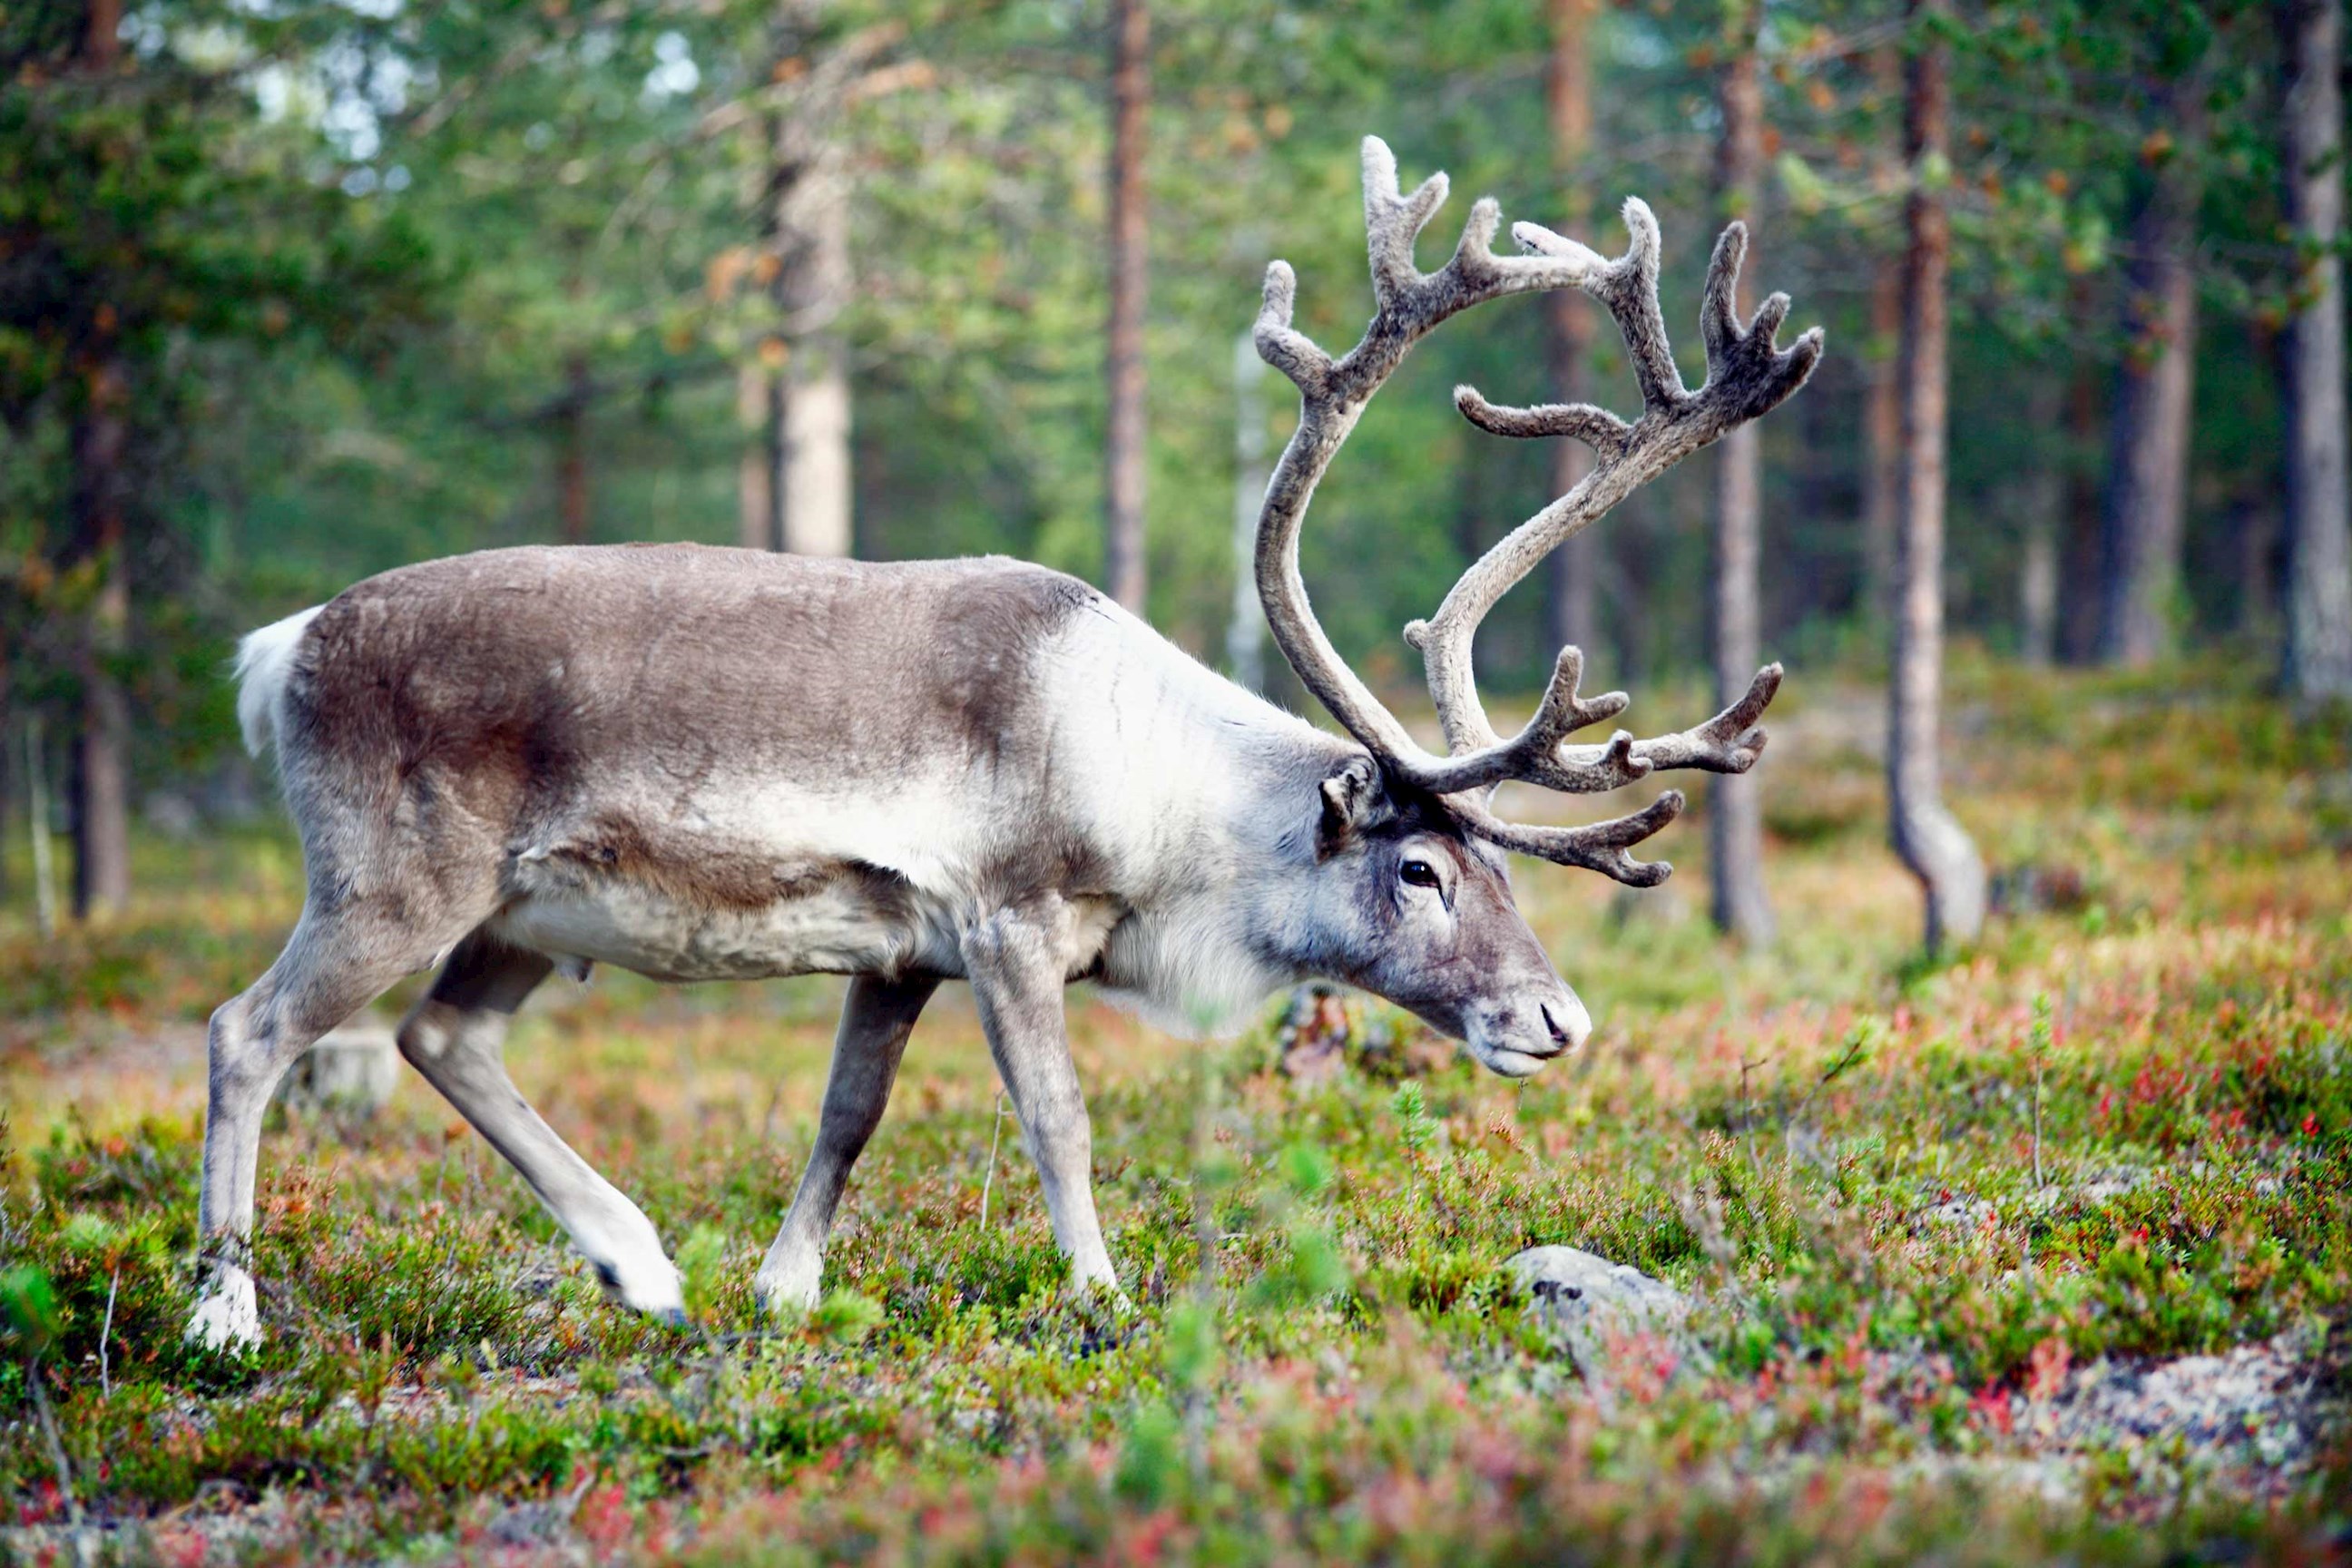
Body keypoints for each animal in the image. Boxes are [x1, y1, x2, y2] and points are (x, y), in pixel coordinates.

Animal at [186, 137, 1820, 1349]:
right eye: (1419, 867)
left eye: (1500, 865)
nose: (1557, 1019)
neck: (1164, 811)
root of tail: (281, 649)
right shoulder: (1008, 918)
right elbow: (1059, 1117)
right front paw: (1101, 1298)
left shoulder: (897, 951)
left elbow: (847, 1116)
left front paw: (782, 1292)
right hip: (393, 875)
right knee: (251, 1028)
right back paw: (226, 1314)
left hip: (523, 908)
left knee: (441, 1037)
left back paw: (641, 1267)